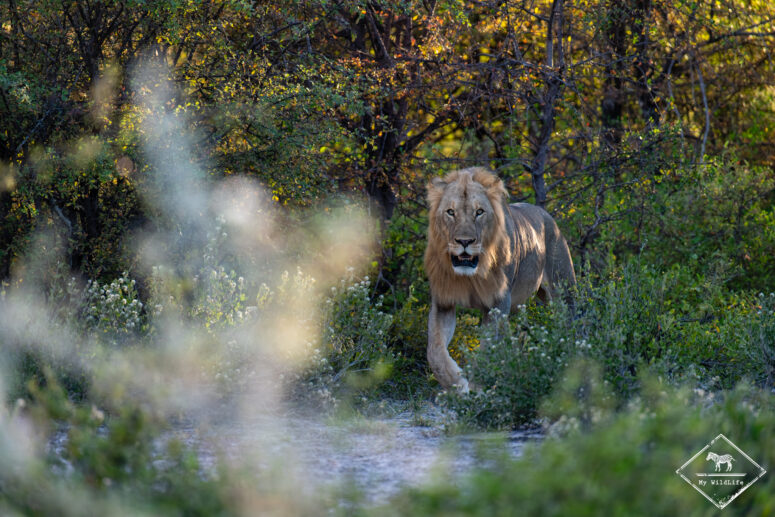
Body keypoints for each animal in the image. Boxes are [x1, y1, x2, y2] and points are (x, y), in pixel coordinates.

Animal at [424, 167, 576, 391]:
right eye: (450, 212)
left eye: (479, 212)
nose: (464, 242)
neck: (469, 276)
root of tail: (546, 215)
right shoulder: (443, 302)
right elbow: (434, 352)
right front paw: (456, 383)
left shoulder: (497, 303)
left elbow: (486, 349)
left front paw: (478, 386)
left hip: (563, 290)